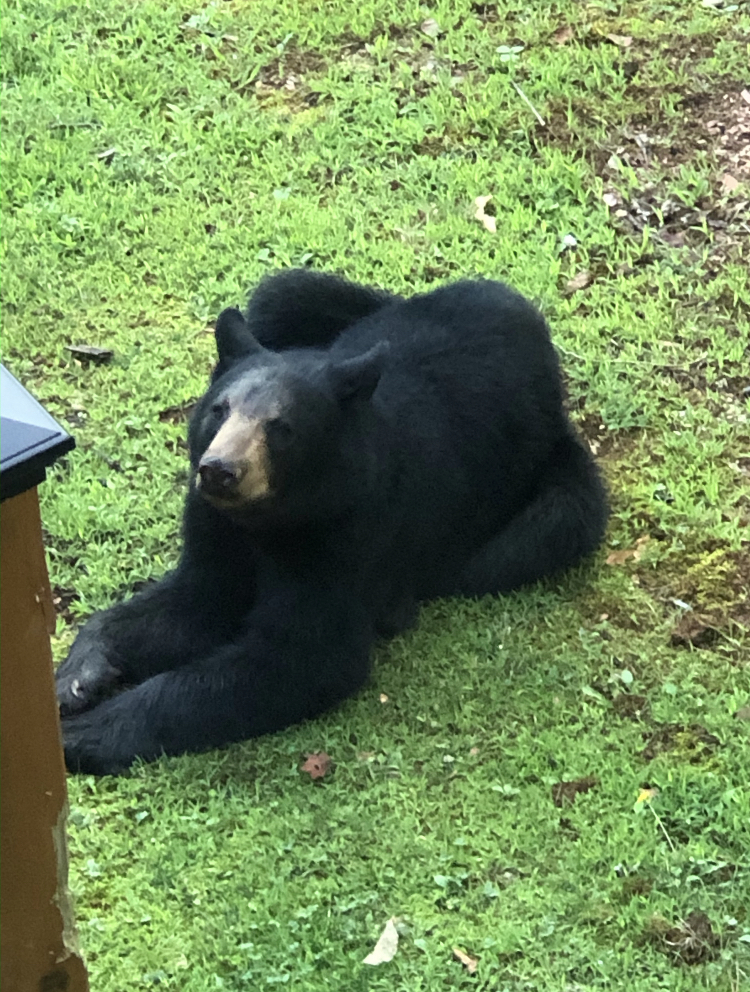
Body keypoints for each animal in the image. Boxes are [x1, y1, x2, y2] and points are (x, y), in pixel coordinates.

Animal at [58, 272, 612, 776]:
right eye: (219, 409)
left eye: (280, 428)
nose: (219, 471)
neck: (270, 517)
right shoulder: (216, 524)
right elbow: (193, 599)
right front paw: (77, 677)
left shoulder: (348, 533)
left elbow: (303, 656)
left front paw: (81, 735)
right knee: (279, 292)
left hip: (544, 504)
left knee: (535, 538)